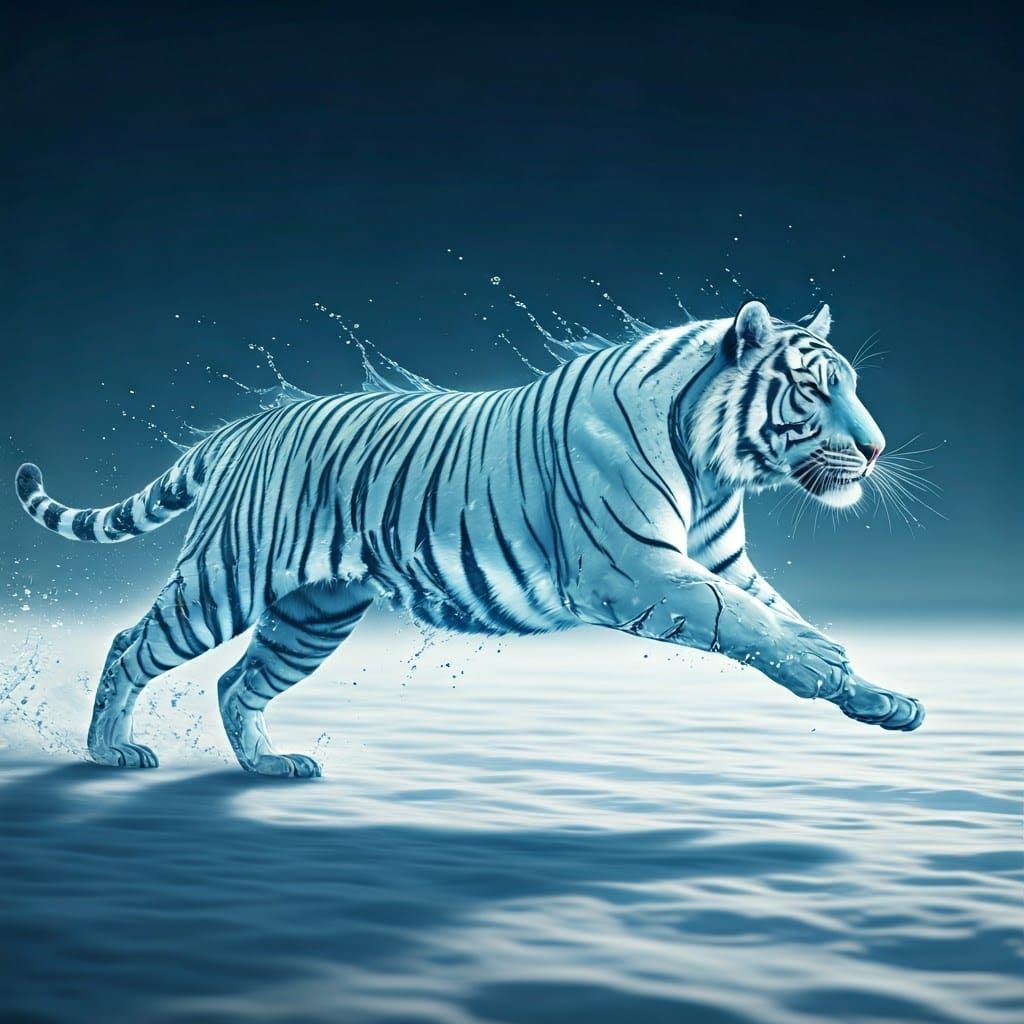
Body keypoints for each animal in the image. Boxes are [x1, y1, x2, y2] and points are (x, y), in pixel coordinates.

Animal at [15, 299, 925, 777]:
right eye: (814, 390)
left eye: (852, 386)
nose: (879, 448)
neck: (717, 466)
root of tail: (240, 429)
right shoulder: (633, 569)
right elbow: (745, 619)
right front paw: (826, 665)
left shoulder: (720, 560)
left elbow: (777, 612)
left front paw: (881, 699)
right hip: (224, 583)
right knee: (132, 642)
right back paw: (110, 750)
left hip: (313, 613)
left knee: (240, 682)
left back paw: (272, 766)